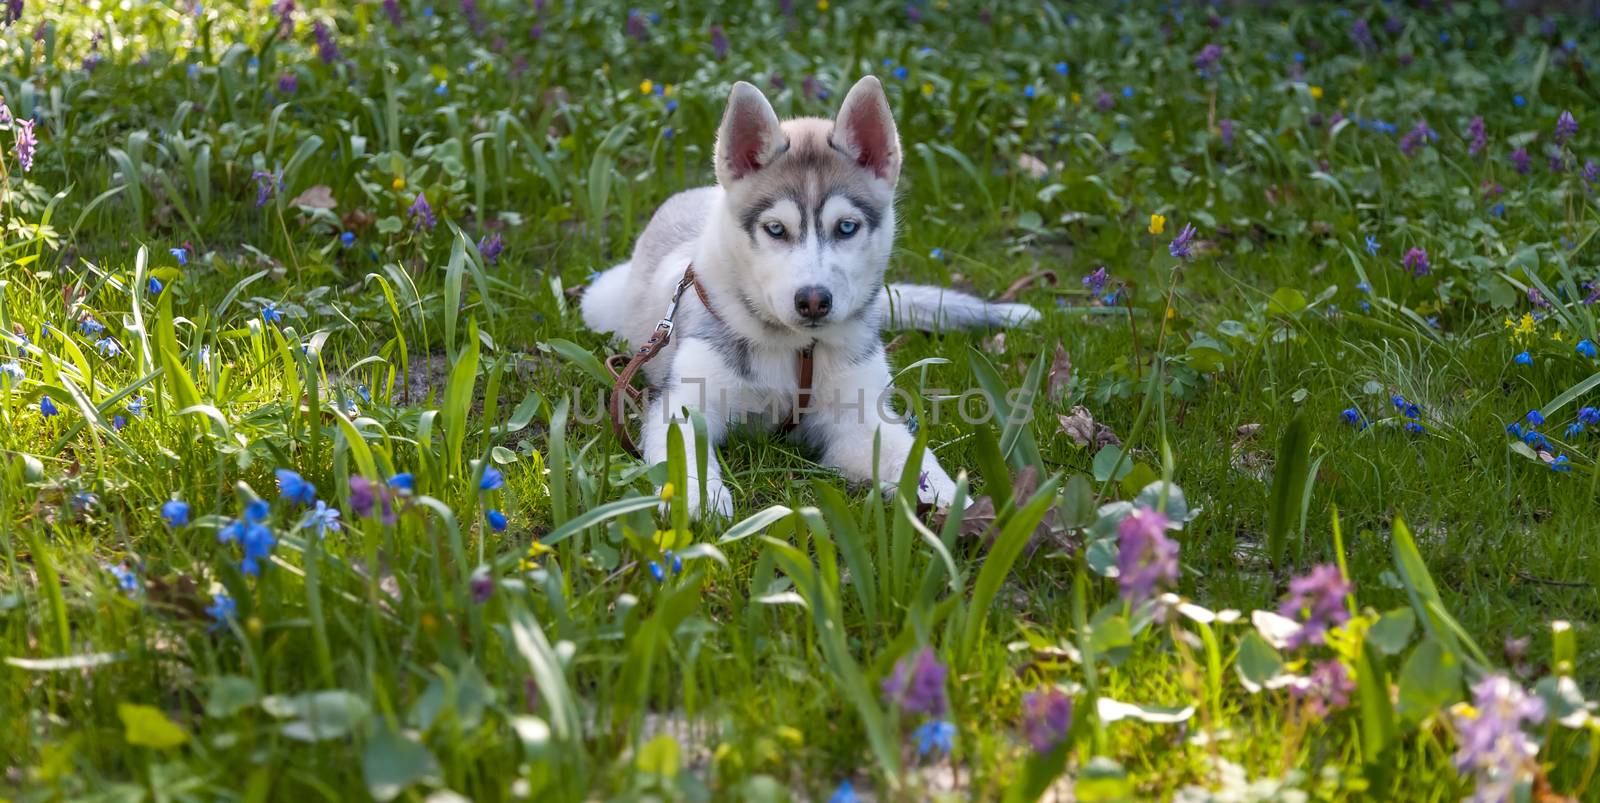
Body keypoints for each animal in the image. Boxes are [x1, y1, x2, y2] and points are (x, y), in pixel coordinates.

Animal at [582, 73, 1043, 515]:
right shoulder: (681, 403)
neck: (796, 346)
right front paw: (696, 503)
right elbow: (684, 456)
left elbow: (915, 460)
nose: (814, 301)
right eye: (775, 229)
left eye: (846, 227)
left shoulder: (860, 419)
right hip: (600, 301)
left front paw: (959, 506)